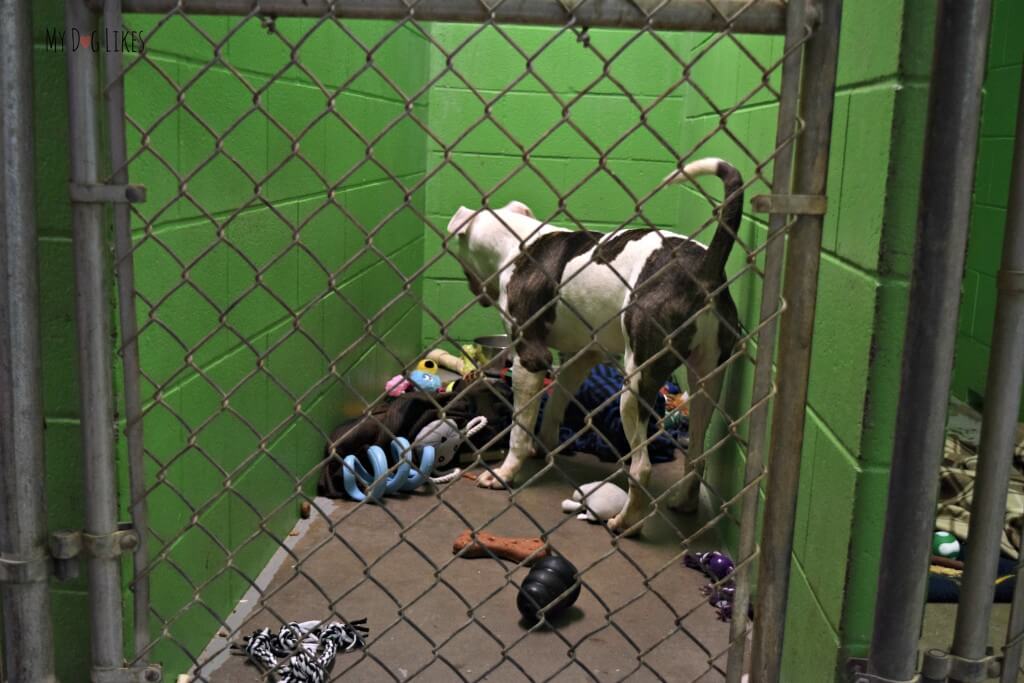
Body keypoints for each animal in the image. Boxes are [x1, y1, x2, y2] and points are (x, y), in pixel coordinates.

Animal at [444, 157, 741, 536]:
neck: (517, 245)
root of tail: (705, 268)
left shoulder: (530, 360)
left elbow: (519, 429)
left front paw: (506, 473)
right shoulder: (580, 358)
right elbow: (555, 406)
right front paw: (546, 448)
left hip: (636, 384)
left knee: (641, 467)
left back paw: (625, 522)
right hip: (707, 381)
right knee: (698, 452)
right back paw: (685, 502)